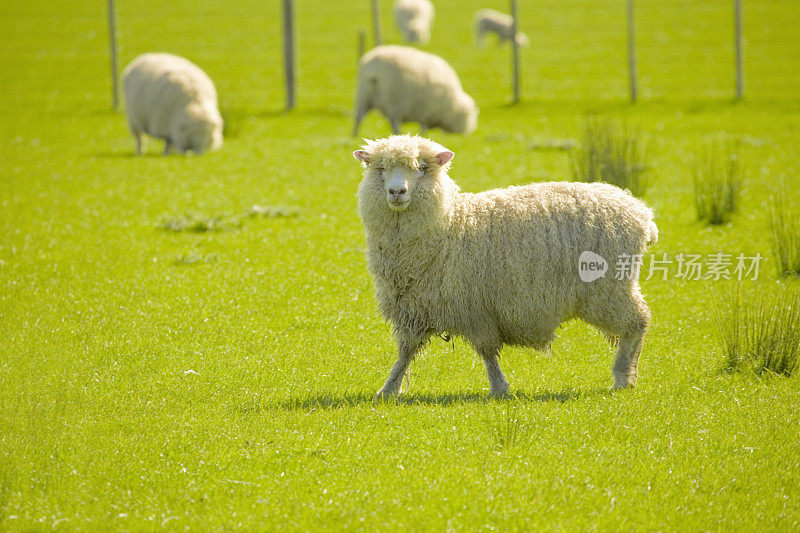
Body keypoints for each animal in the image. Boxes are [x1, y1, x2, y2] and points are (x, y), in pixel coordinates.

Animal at [354, 135, 660, 396]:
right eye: (381, 168)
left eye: (421, 168)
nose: (396, 191)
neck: (450, 224)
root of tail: (641, 213)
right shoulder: (414, 309)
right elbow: (405, 354)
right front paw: (388, 389)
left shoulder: (475, 308)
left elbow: (487, 352)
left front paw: (499, 388)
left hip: (609, 288)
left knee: (637, 323)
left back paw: (622, 377)